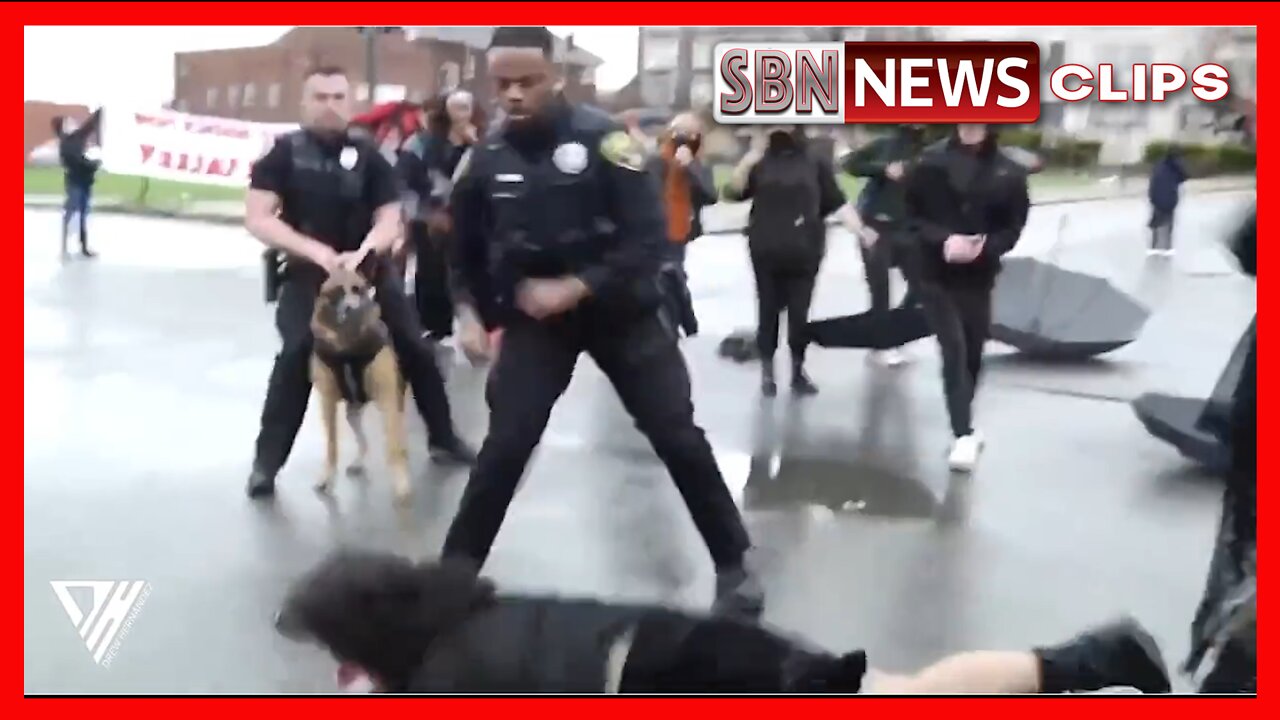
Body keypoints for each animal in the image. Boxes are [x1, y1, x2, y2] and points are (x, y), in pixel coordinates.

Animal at [309, 266, 409, 502]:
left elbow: (393, 446)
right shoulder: (327, 402)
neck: (348, 346)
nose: (351, 308)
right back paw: (359, 461)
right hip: (352, 413)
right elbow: (331, 445)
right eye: (335, 293)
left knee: (396, 438)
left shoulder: (388, 399)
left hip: (392, 406)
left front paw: (400, 481)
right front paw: (328, 476)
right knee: (363, 440)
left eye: (357, 289)